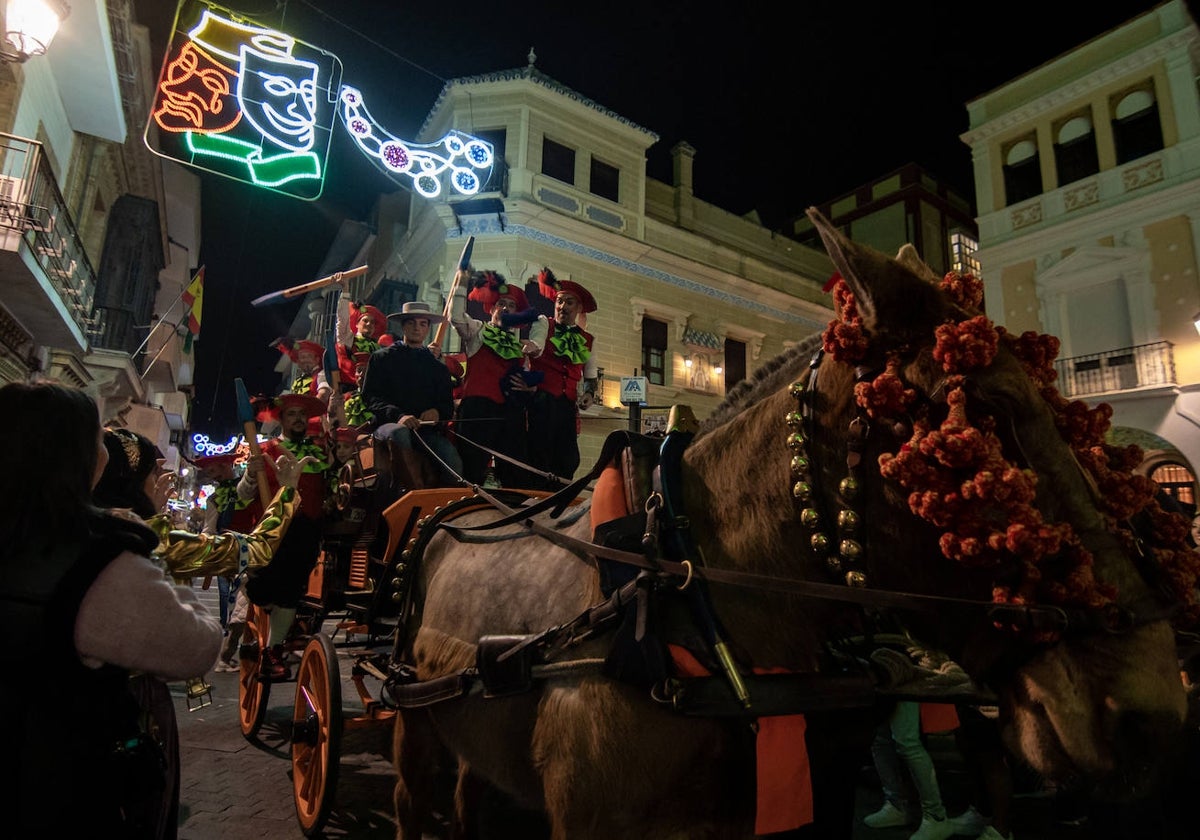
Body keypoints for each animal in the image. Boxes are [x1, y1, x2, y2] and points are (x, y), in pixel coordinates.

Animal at [388, 205, 1195, 840]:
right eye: (988, 411)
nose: (1152, 715)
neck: (682, 591)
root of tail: (458, 504)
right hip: (410, 723)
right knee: (411, 800)